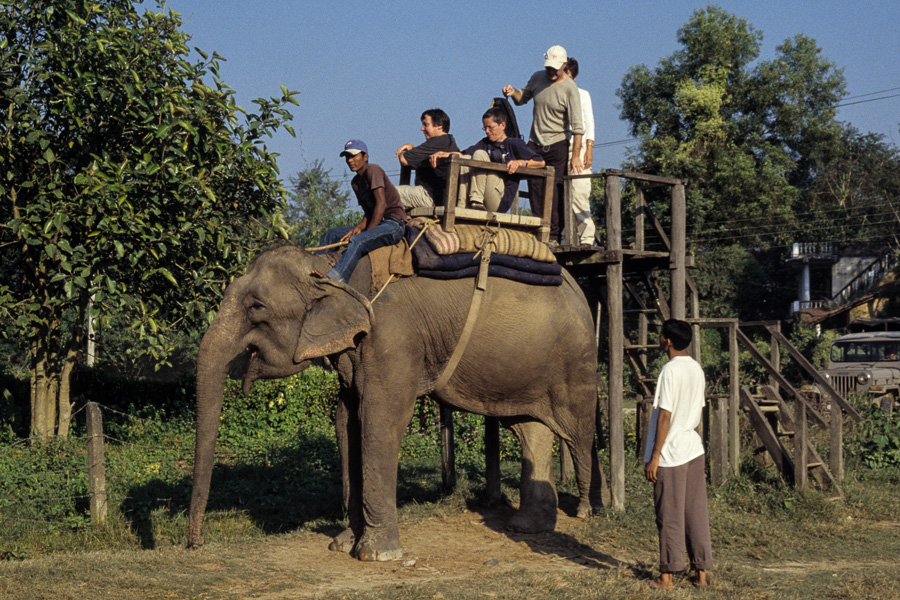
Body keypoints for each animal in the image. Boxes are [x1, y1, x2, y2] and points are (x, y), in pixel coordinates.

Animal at [187, 241, 604, 560]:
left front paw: (375, 554)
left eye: (257, 307)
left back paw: (587, 510)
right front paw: (342, 545)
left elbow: (379, 417)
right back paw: (528, 528)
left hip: (576, 358)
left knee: (578, 430)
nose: (196, 543)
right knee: (530, 428)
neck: (333, 269)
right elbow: (347, 421)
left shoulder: (393, 337)